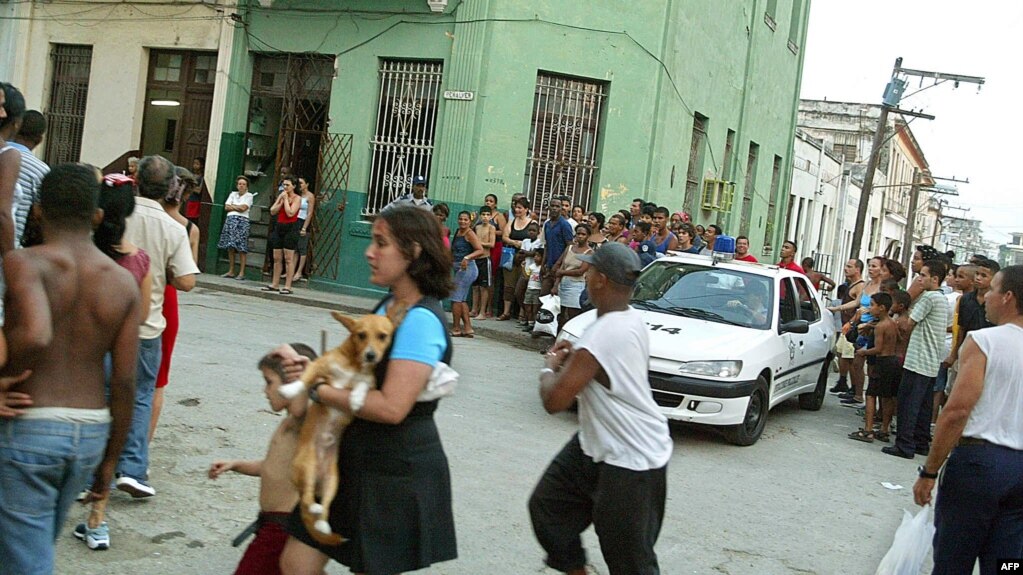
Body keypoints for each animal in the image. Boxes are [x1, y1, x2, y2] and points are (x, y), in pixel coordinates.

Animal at [278, 306, 401, 544]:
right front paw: (290, 389)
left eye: (383, 336)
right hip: (307, 467)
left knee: (322, 503)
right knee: (306, 498)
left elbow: (362, 385)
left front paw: (355, 400)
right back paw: (315, 509)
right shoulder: (319, 367)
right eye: (360, 335)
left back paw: (323, 523)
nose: (371, 355)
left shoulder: (371, 384)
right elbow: (305, 379)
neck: (354, 364)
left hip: (332, 481)